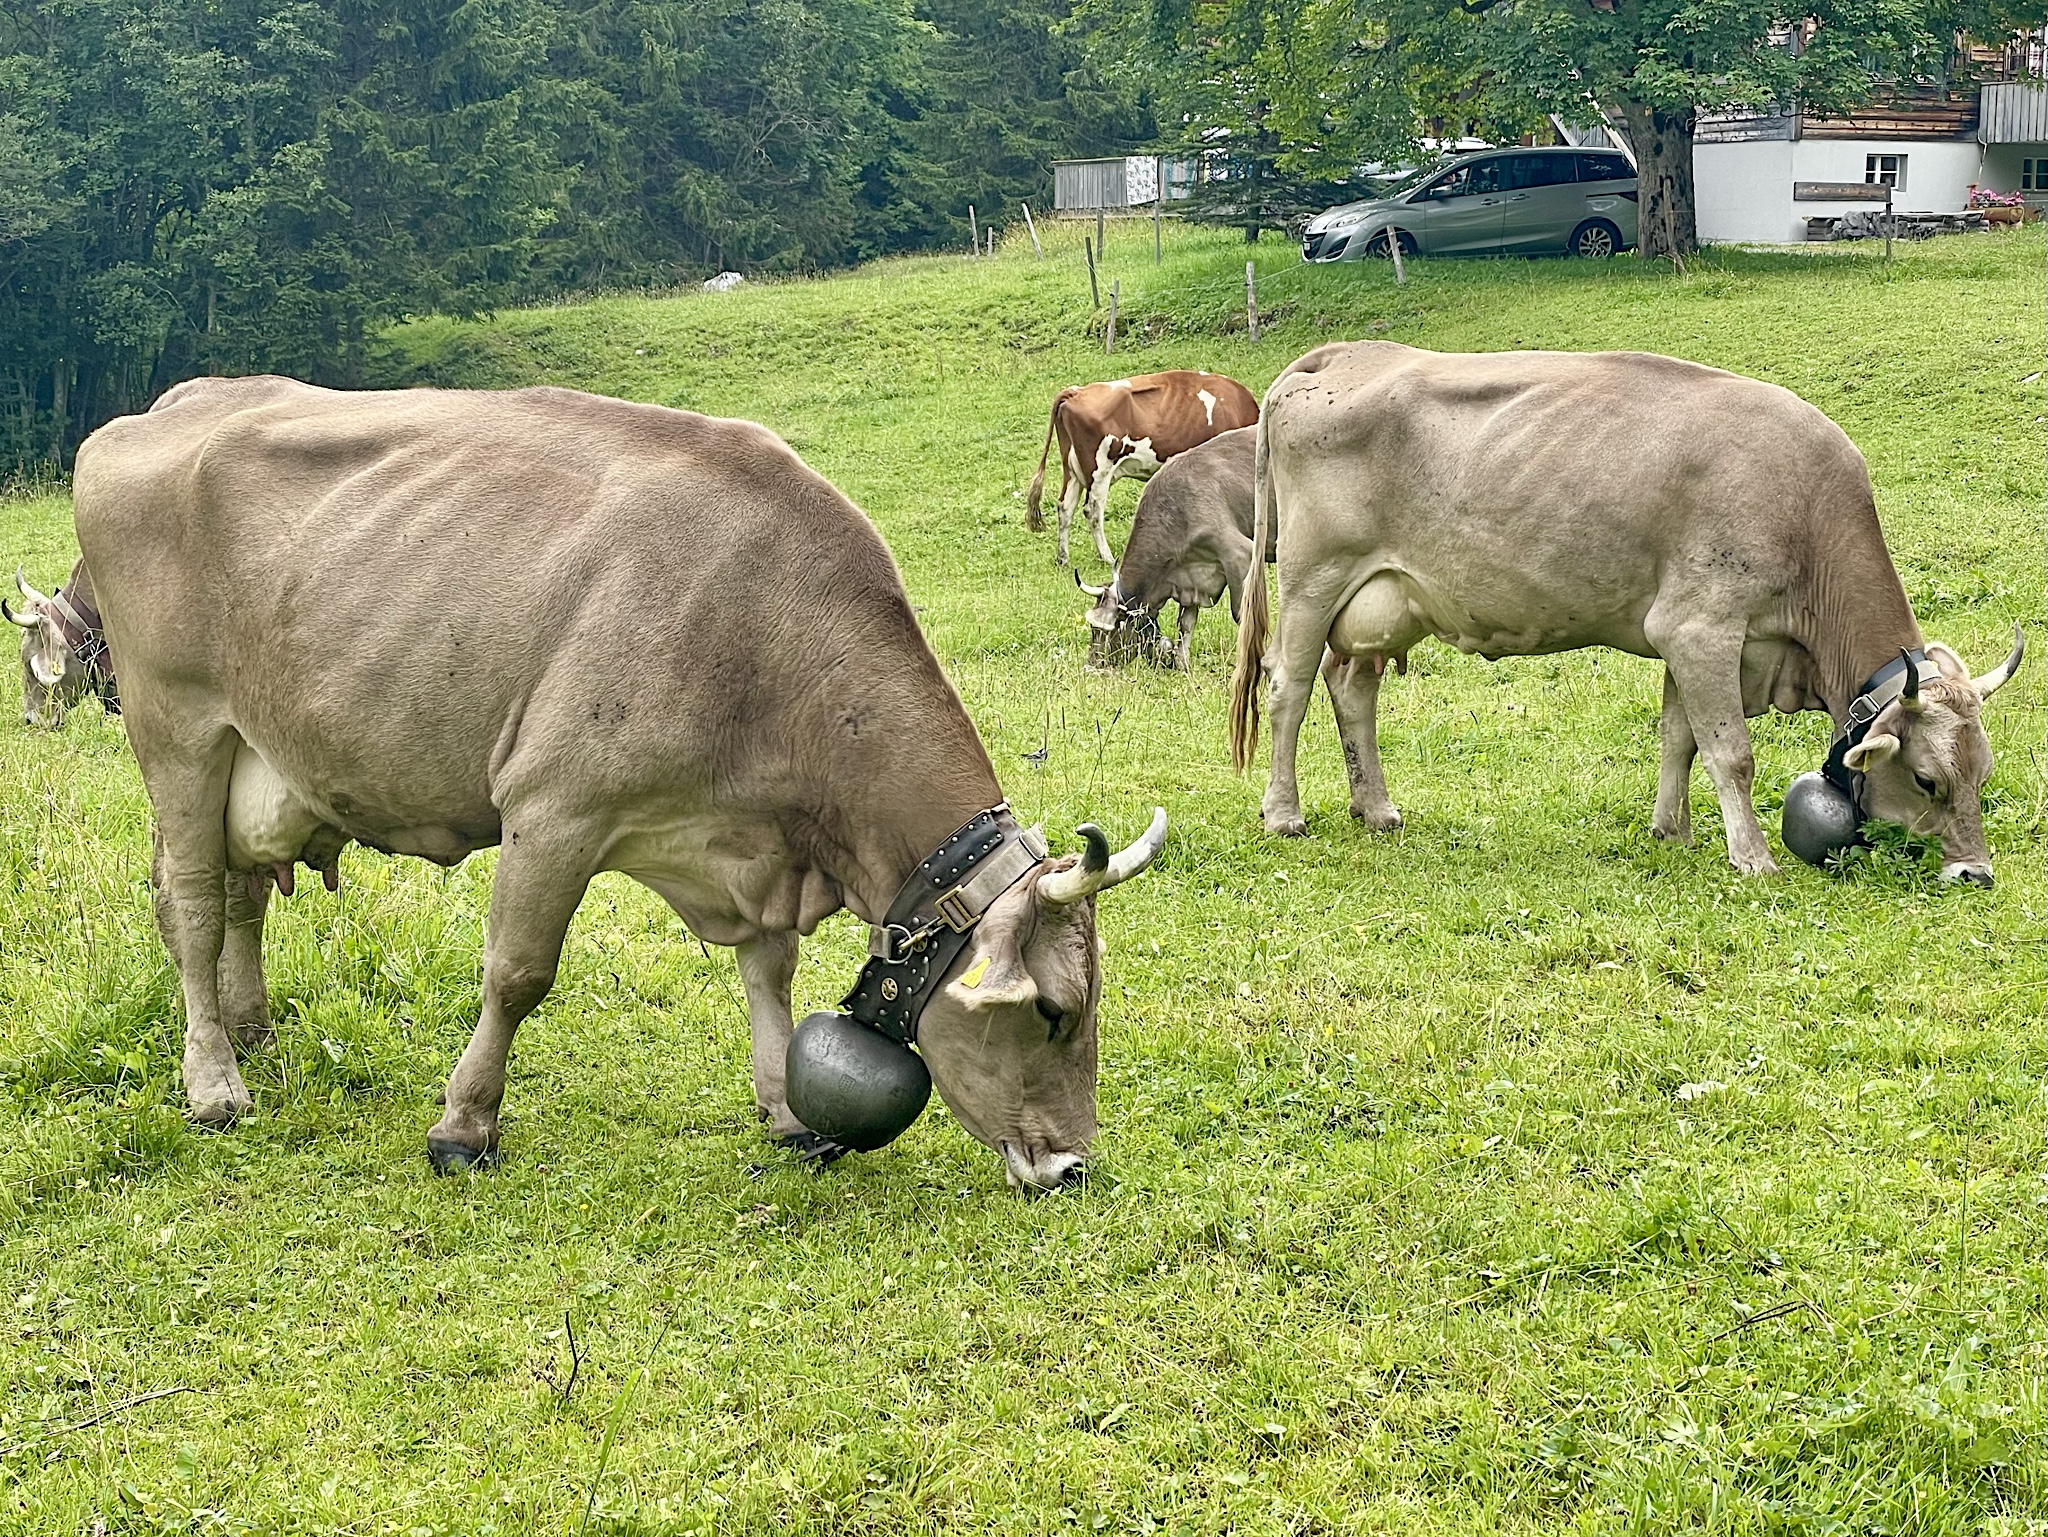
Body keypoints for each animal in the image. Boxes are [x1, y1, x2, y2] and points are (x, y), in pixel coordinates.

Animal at [73, 375, 1167, 1192]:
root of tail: (164, 408)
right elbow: (517, 973)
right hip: (177, 730)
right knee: (194, 905)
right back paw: (215, 1082)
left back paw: (251, 1031)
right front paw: (464, 1125)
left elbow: (768, 974)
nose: (1071, 1165)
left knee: (238, 896)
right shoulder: (555, 806)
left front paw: (783, 1110)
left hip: (257, 758)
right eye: (1053, 1010)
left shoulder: (755, 846)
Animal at [1024, 370, 1259, 567]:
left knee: (1065, 507)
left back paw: (1063, 559)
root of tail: (1075, 391)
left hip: (1072, 471)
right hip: (1099, 470)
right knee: (1092, 511)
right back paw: (1107, 557)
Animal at [1078, 426, 1271, 671]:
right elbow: (1186, 623)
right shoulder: (1189, 577)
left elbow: (1242, 615)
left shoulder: (1239, 554)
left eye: (1104, 630)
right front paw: (1182, 663)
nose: (1090, 666)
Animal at [1229, 341, 2026, 881]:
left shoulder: (1690, 640)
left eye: (1984, 775)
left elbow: (1680, 738)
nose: (1975, 873)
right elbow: (1732, 753)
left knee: (1350, 690)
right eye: (1927, 779)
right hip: (1312, 580)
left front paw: (1671, 830)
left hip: (1382, 601)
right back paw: (1283, 813)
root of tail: (1337, 356)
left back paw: (1376, 807)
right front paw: (1753, 857)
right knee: (1286, 689)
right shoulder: (1702, 627)